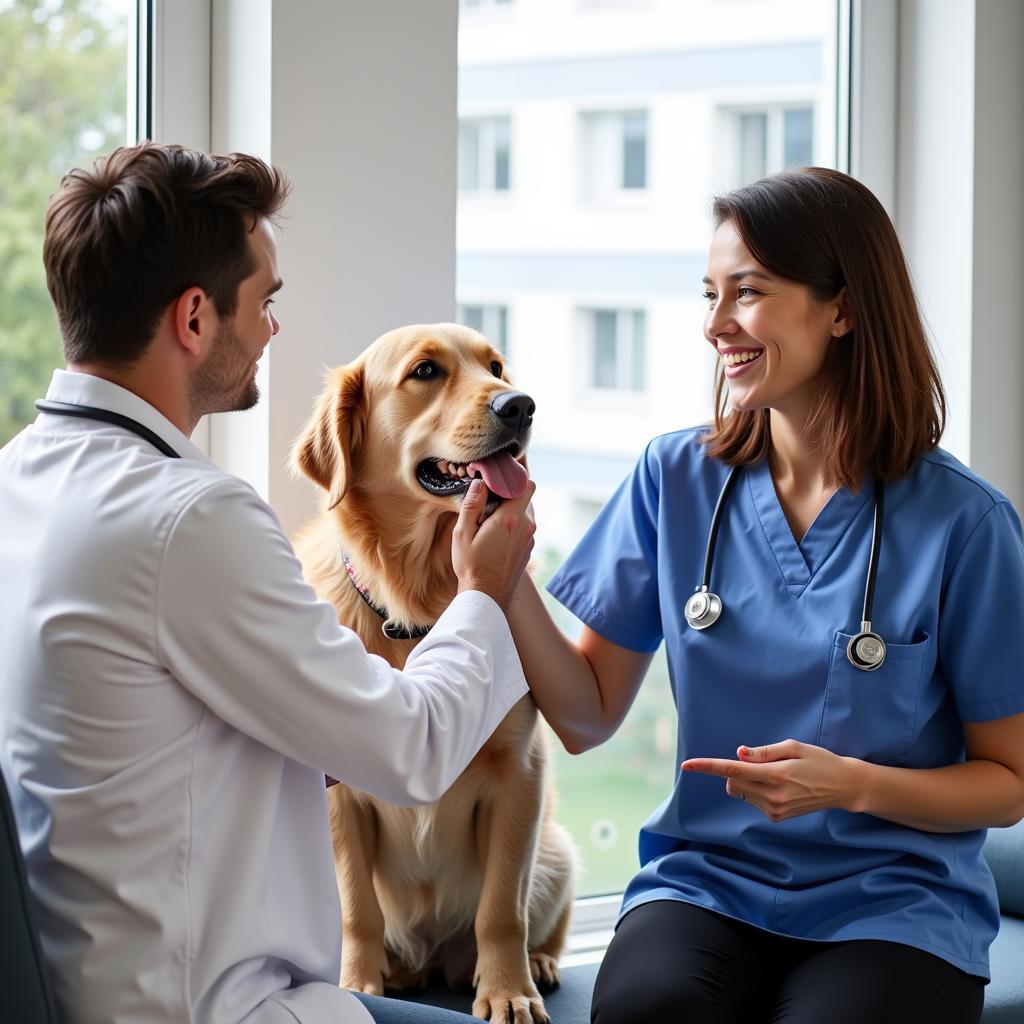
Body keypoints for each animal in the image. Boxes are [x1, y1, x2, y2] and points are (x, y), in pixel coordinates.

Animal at [288, 321, 577, 1024]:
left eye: (496, 367)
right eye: (425, 371)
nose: (521, 405)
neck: (423, 607)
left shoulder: (520, 773)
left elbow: (501, 910)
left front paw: (507, 990)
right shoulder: (339, 798)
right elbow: (356, 909)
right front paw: (358, 982)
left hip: (556, 850)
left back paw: (539, 962)